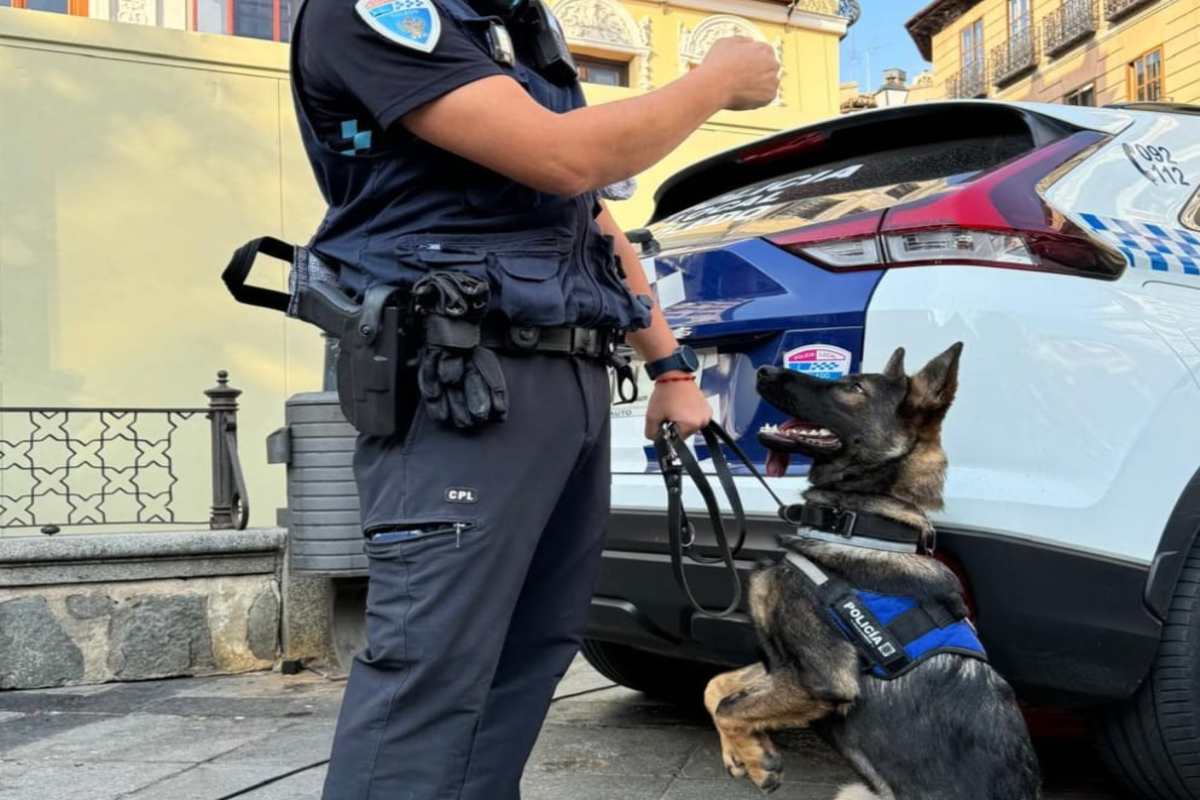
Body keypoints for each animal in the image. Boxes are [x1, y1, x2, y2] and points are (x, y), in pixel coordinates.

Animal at [700, 345, 1041, 800]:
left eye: (854, 388)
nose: (765, 370)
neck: (861, 524)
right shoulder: (783, 666)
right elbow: (715, 686)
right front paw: (743, 753)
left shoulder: (822, 678)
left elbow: (729, 706)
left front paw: (757, 759)